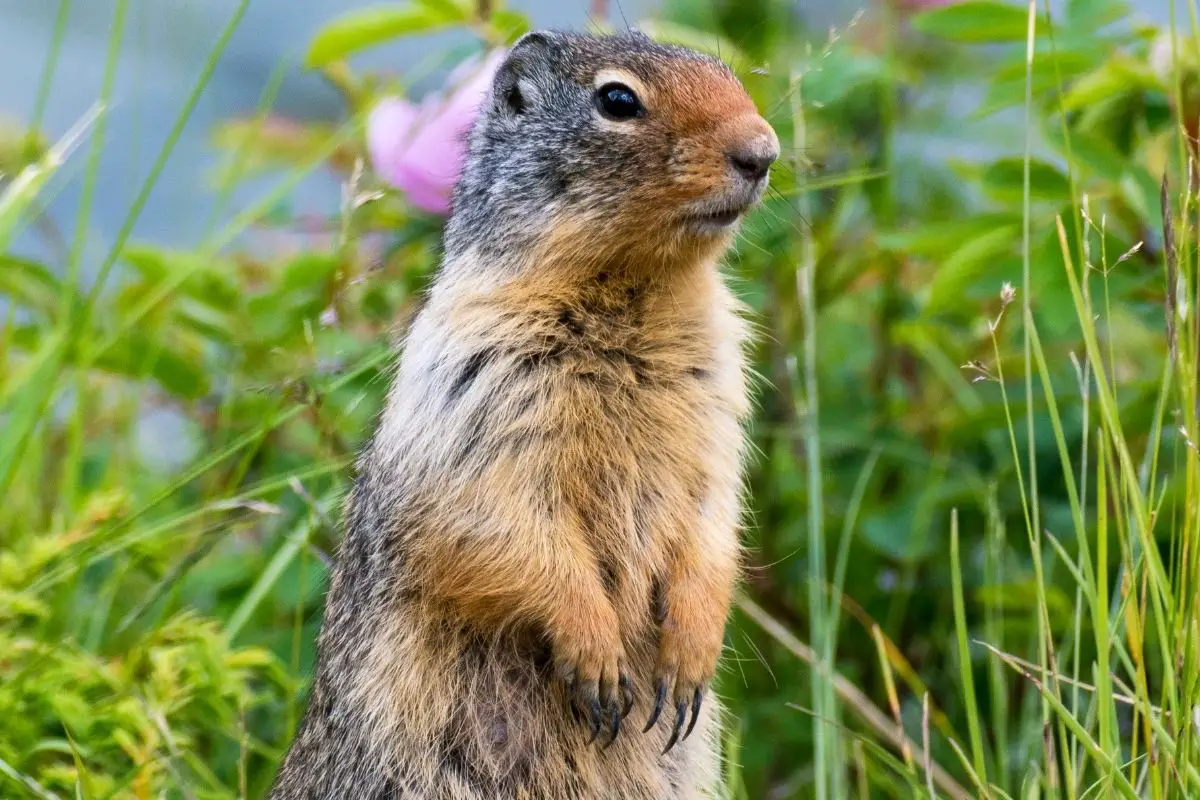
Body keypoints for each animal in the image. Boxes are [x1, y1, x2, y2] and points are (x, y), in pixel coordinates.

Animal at [271, 28, 777, 796]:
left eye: (724, 70)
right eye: (617, 100)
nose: (764, 151)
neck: (633, 291)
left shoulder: (718, 396)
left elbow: (713, 519)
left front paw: (691, 656)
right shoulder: (477, 388)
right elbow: (503, 522)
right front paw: (599, 660)